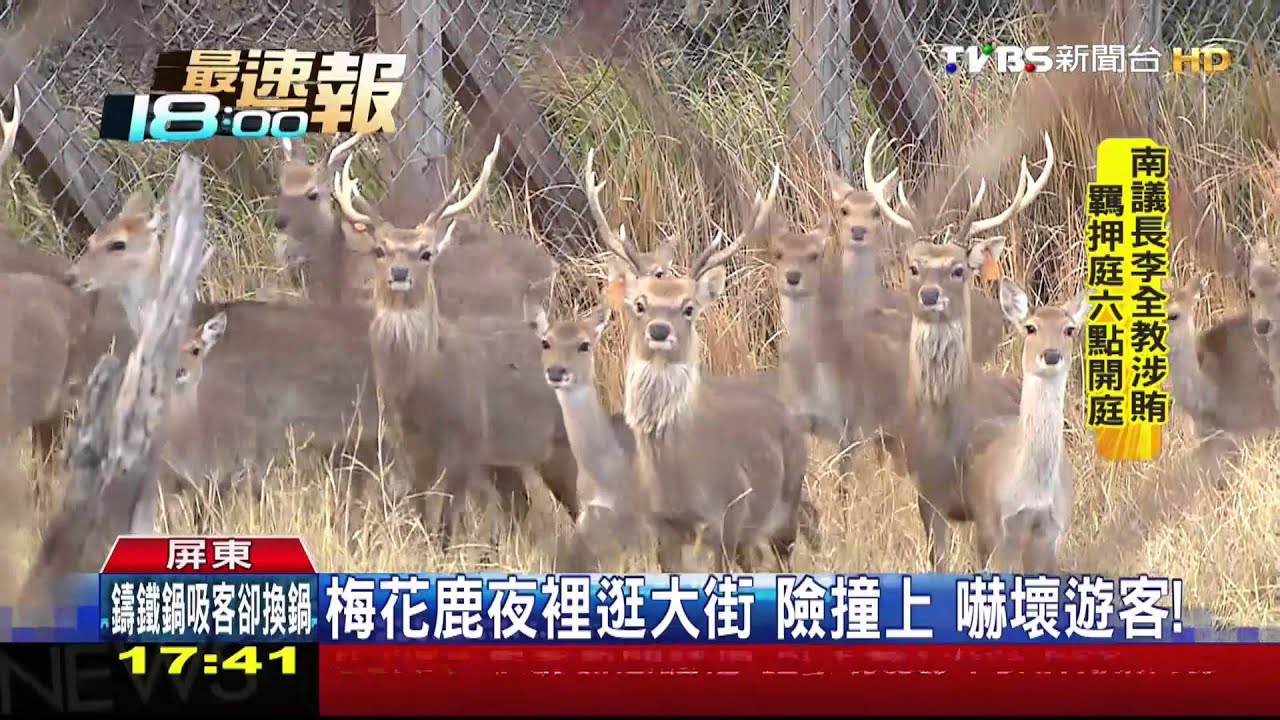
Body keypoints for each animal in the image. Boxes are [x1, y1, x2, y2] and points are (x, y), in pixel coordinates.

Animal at [335, 142, 579, 545]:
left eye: (426, 252)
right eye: (380, 250)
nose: (399, 273)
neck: (424, 391)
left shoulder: (467, 441)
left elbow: (448, 519)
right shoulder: (410, 445)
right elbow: (420, 511)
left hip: (558, 440)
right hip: (503, 459)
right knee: (520, 504)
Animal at [586, 150, 811, 572]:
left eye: (688, 307)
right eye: (639, 304)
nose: (659, 330)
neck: (679, 475)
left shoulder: (728, 511)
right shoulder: (660, 524)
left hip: (785, 501)